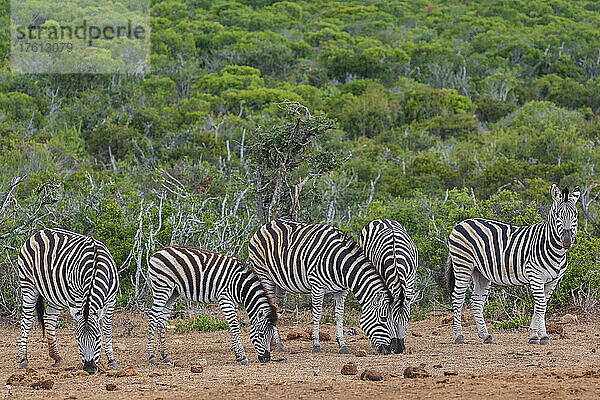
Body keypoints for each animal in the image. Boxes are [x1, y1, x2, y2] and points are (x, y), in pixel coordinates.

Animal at [17, 228, 119, 376]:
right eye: (78, 339)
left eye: (97, 338)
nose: (89, 369)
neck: (95, 267)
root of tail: (38, 232)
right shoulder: (78, 296)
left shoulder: (112, 300)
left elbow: (107, 327)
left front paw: (111, 361)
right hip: (28, 284)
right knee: (27, 320)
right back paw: (23, 359)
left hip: (54, 294)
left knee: (49, 318)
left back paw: (57, 357)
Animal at [146, 245, 278, 364]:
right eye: (261, 335)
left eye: (271, 335)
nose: (266, 359)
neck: (239, 285)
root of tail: (156, 253)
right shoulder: (225, 299)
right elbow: (235, 328)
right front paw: (243, 356)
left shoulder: (233, 303)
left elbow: (232, 327)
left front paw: (237, 355)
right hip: (162, 287)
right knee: (153, 316)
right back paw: (151, 356)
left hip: (172, 293)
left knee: (161, 320)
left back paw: (164, 355)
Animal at [246, 219, 392, 354]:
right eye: (384, 319)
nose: (389, 349)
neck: (339, 264)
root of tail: (266, 224)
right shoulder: (317, 286)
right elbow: (317, 314)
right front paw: (316, 345)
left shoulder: (342, 290)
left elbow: (339, 315)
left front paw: (342, 344)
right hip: (264, 275)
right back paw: (278, 345)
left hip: (279, 284)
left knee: (274, 307)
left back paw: (273, 343)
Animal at [448, 186, 580, 346]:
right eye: (557, 215)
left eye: (575, 215)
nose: (566, 241)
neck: (553, 248)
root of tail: (462, 222)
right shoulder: (535, 276)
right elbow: (541, 306)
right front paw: (542, 336)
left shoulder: (552, 281)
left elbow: (541, 306)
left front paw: (534, 335)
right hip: (462, 265)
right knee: (458, 298)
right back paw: (459, 335)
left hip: (480, 272)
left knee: (476, 301)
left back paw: (485, 335)